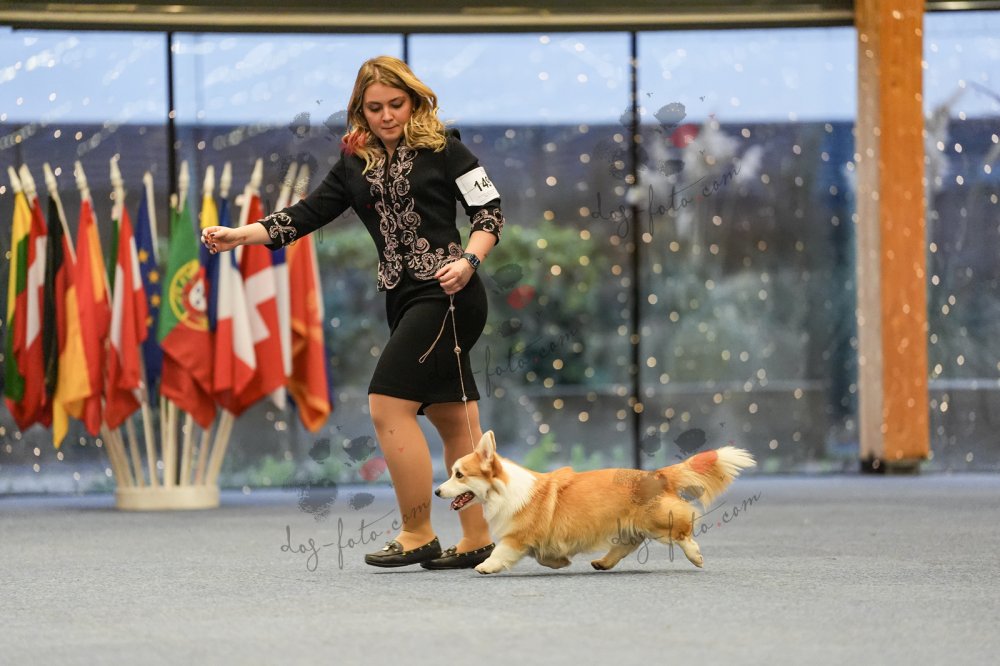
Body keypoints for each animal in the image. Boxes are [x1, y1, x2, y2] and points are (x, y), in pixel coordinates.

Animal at [435, 431, 755, 574]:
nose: (437, 492)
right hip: (629, 525)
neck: (502, 491)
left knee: (682, 532)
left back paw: (695, 555)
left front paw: (486, 565)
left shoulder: (516, 537)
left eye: (458, 474)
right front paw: (559, 561)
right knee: (627, 544)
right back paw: (603, 562)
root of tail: (658, 475)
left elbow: (501, 551)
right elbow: (542, 556)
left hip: (658, 521)